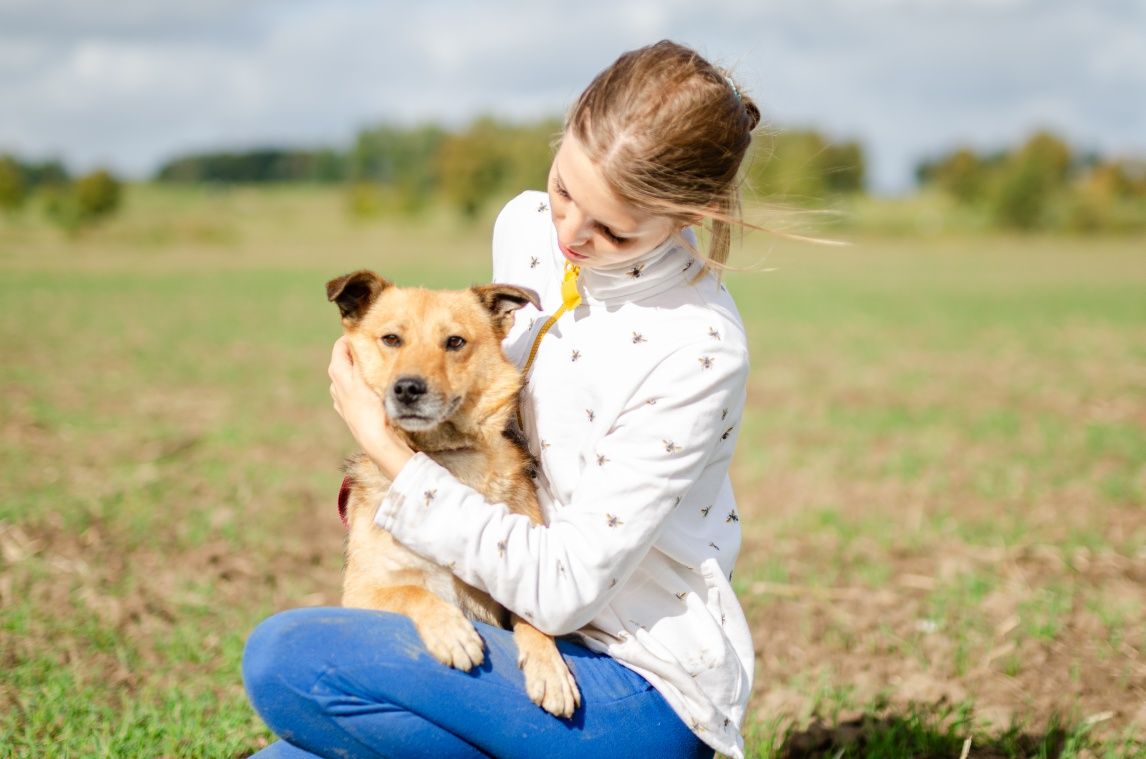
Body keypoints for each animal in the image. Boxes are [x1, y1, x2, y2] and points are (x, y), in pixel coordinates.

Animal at [330, 271, 582, 720]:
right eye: (391, 339)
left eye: (455, 342)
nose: (408, 389)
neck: (443, 458)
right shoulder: (360, 590)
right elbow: (409, 590)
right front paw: (452, 633)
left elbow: (534, 620)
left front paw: (550, 671)